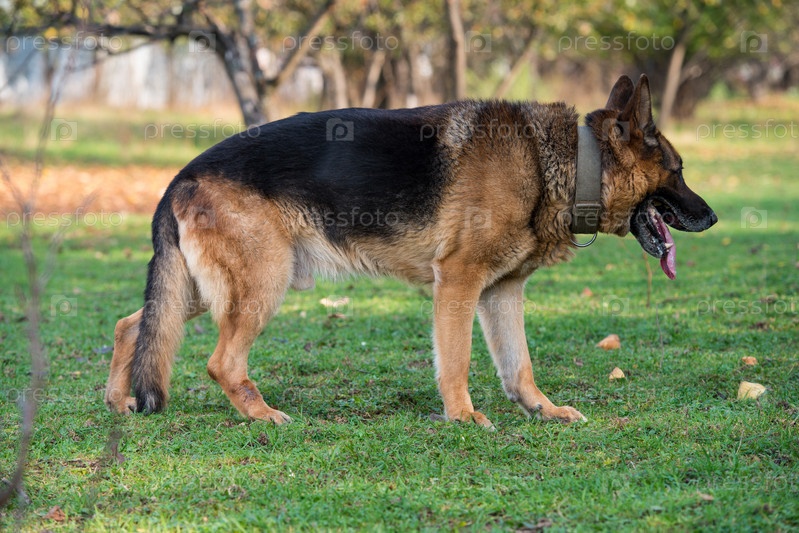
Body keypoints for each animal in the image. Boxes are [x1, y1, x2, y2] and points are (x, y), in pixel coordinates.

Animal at [104, 74, 717, 428]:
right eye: (680, 171)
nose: (712, 217)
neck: (561, 161)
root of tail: (180, 176)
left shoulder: (502, 292)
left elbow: (519, 365)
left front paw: (541, 410)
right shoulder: (460, 283)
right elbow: (458, 360)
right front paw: (463, 417)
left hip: (209, 289)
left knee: (134, 323)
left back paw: (119, 401)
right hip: (262, 284)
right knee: (220, 361)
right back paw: (262, 414)